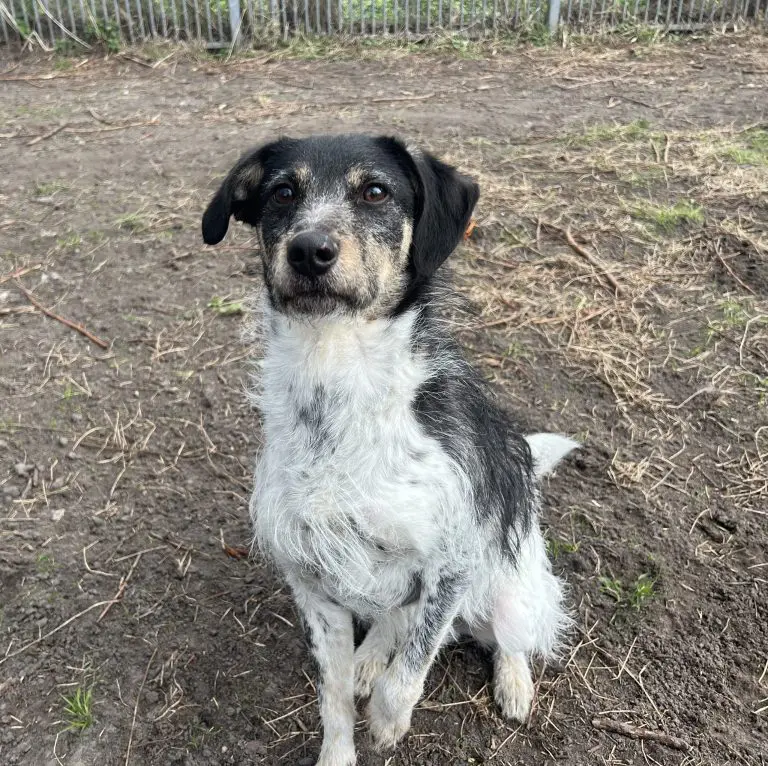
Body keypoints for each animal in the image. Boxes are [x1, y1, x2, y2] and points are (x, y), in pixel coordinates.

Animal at [202, 134, 578, 766]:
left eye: (376, 191)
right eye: (282, 192)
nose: (309, 251)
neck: (336, 374)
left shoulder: (455, 562)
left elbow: (413, 664)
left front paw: (388, 721)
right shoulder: (314, 585)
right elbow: (332, 695)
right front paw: (340, 747)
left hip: (510, 577)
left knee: (509, 631)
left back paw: (513, 681)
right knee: (395, 616)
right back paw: (372, 653)